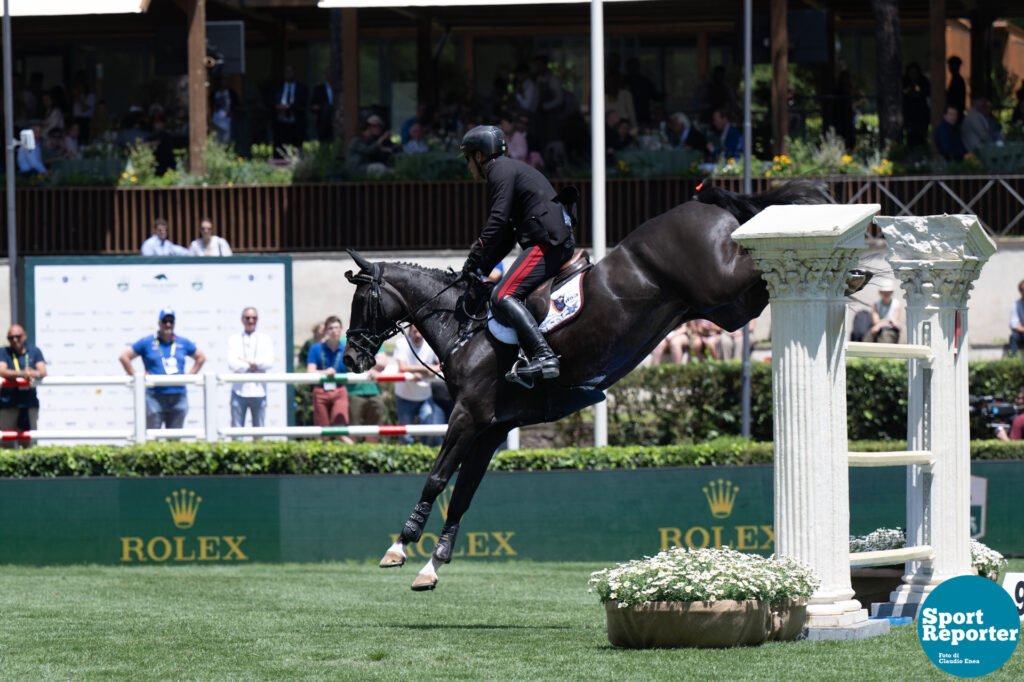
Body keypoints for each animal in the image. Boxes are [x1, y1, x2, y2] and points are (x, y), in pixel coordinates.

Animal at [344, 180, 839, 589]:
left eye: (362, 300)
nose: (351, 357)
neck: (463, 328)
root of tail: (704, 202)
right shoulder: (492, 429)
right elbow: (462, 494)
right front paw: (433, 565)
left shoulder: (469, 416)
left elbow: (436, 478)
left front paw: (399, 546)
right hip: (727, 307)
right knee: (759, 294)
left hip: (723, 281)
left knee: (769, 267)